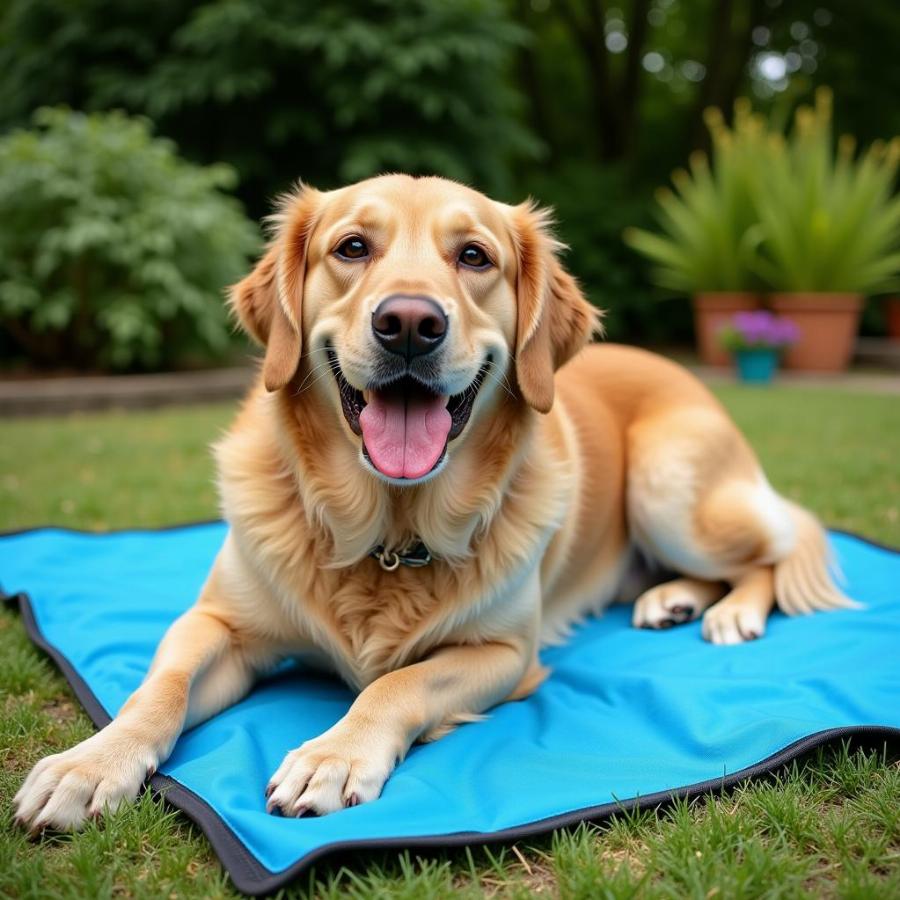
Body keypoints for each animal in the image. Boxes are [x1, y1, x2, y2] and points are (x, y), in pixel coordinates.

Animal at [15, 174, 856, 828]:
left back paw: (729, 612)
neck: (386, 529)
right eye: (353, 248)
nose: (410, 324)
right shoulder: (216, 622)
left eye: (474, 256)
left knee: (770, 555)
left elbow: (398, 683)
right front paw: (90, 766)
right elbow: (158, 690)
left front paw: (334, 754)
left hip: (668, 483)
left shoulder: (503, 653)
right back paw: (670, 599)